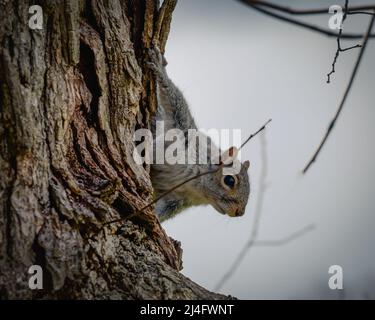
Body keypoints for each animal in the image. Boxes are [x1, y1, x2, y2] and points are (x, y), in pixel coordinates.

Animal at [146, 47, 250, 222]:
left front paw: (155, 219)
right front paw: (161, 70)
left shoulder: (175, 200)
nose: (239, 213)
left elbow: (163, 209)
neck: (194, 187)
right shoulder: (183, 132)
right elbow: (174, 102)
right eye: (229, 180)